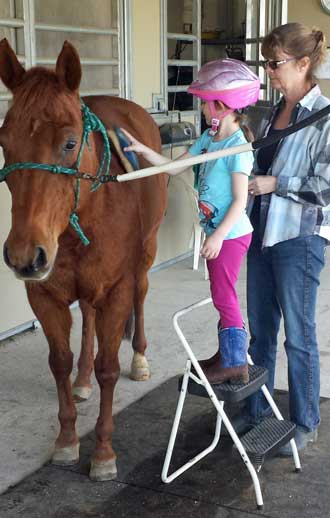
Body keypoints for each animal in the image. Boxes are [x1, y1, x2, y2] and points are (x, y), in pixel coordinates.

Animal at [0, 40, 166, 484]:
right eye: (4, 141)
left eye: (71, 143)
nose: (24, 256)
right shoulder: (45, 296)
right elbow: (59, 362)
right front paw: (67, 440)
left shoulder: (117, 291)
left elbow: (110, 366)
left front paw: (103, 452)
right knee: (88, 317)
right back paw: (83, 379)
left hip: (145, 255)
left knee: (142, 294)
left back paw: (139, 359)